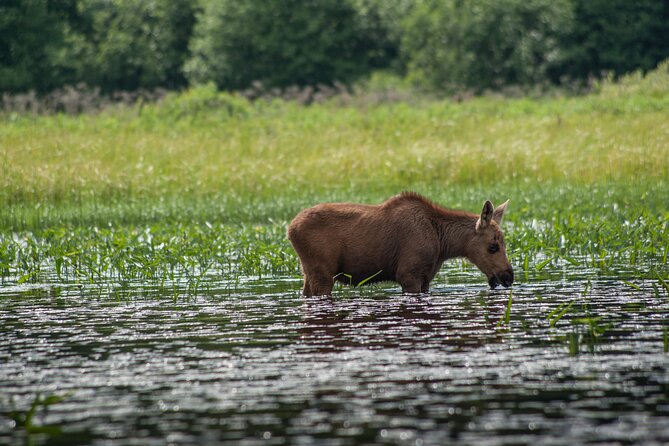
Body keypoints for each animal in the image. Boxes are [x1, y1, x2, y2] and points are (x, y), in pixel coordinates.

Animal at [286, 192, 512, 296]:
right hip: (322, 273)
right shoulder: (408, 274)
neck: (443, 243)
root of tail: (289, 229)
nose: (508, 277)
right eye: (493, 246)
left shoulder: (425, 279)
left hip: (308, 272)